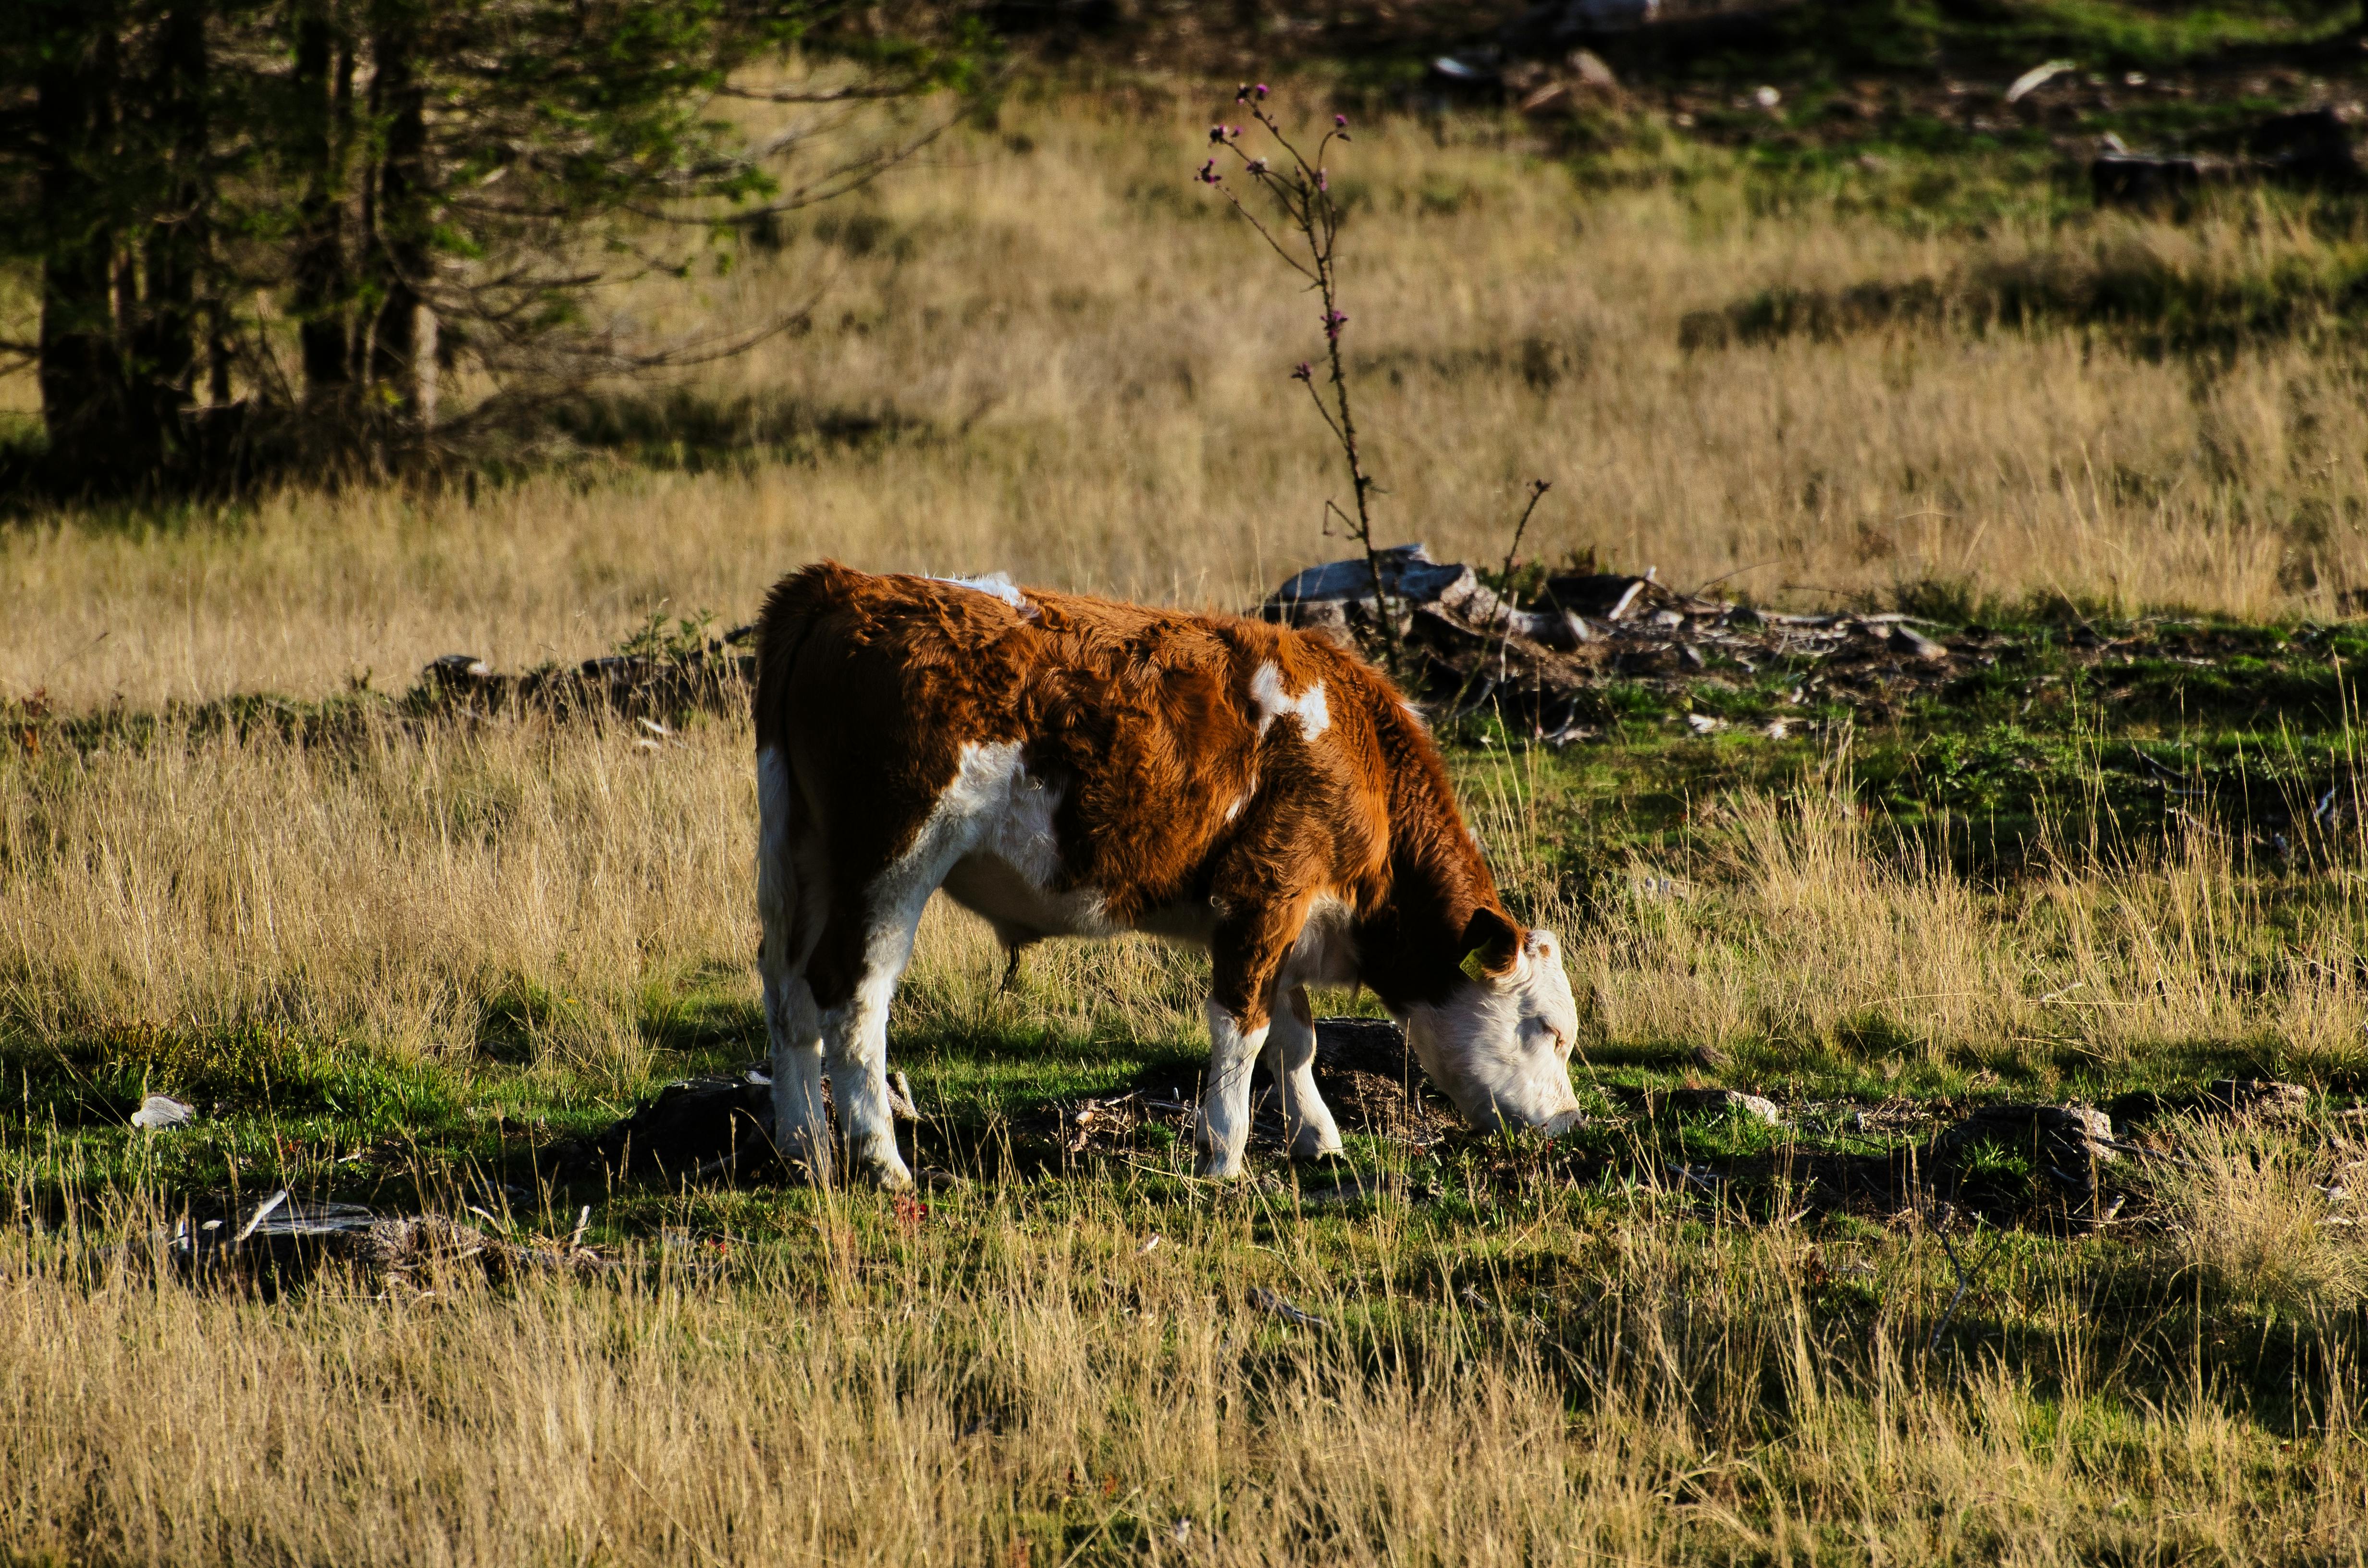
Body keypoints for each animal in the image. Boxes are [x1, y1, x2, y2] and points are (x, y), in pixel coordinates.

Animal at [748, 566, 1581, 1193]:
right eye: (1550, 1030)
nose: (1571, 1123)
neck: (1357, 746)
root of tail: (844, 585)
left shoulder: (1283, 916)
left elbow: (1296, 1036)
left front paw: (1316, 1137)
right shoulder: (1267, 889)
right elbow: (1244, 1030)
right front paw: (1224, 1156)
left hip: (802, 858)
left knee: (787, 995)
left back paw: (805, 1148)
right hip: (892, 864)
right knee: (852, 999)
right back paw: (880, 1159)